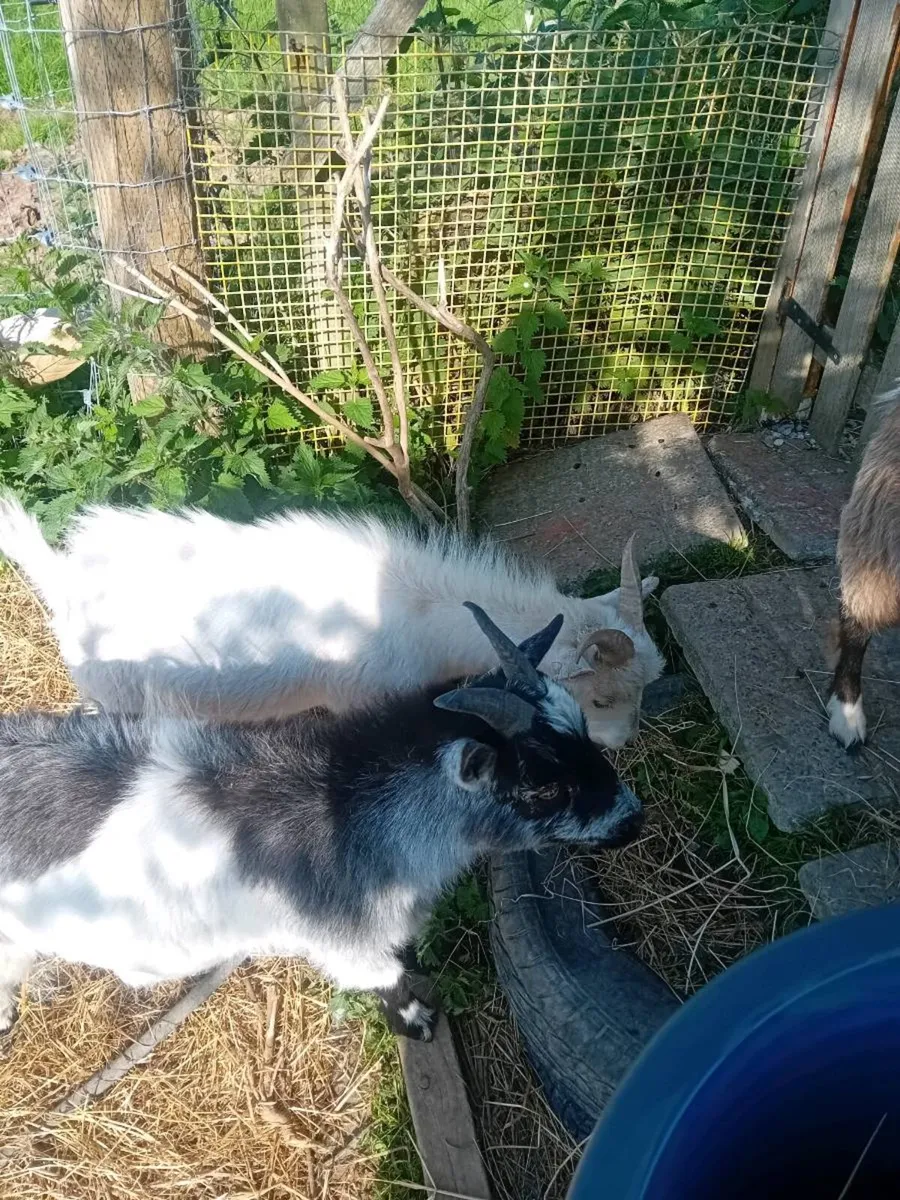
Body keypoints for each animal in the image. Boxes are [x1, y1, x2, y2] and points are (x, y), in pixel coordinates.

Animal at [0, 604, 642, 1041]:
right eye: (544, 785)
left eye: (585, 728)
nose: (633, 820)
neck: (345, 808)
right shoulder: (345, 944)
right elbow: (386, 979)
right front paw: (416, 1022)